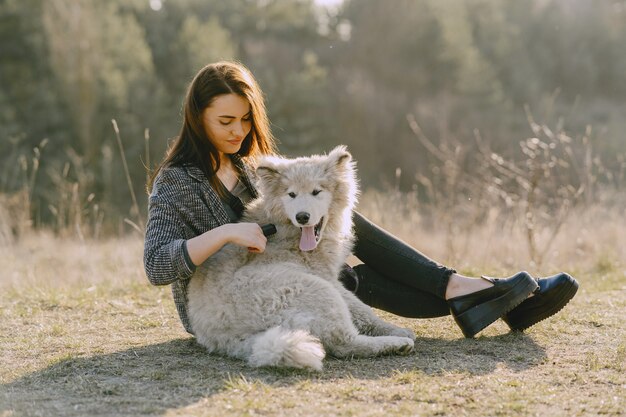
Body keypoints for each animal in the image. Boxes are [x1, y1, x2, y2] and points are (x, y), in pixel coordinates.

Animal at [190, 146, 414, 370]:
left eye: (316, 192)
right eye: (291, 194)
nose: (302, 217)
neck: (285, 229)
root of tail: (229, 337)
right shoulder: (328, 278)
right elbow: (362, 309)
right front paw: (395, 329)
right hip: (315, 289)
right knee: (344, 343)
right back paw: (396, 343)